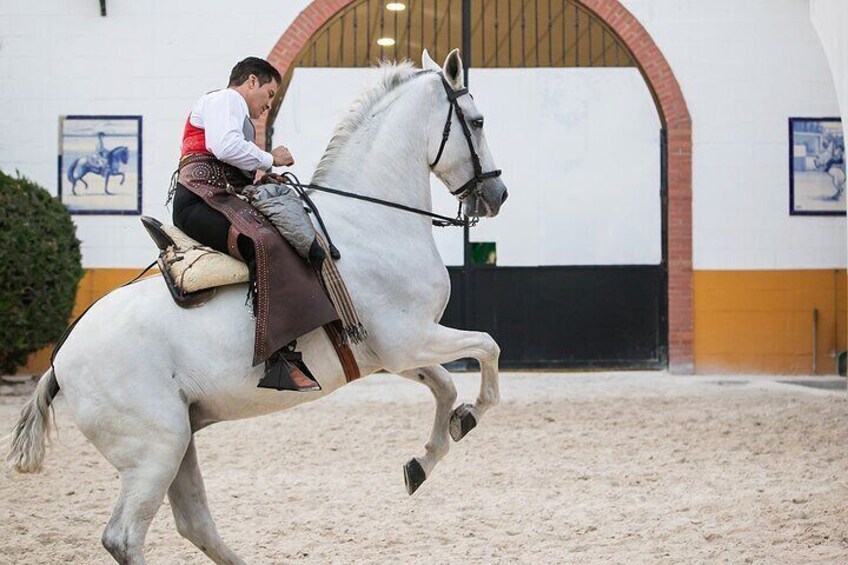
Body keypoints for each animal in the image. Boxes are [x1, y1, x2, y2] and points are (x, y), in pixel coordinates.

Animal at [6, 49, 506, 564]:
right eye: (478, 121)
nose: (497, 195)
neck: (369, 221)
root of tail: (60, 360)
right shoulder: (410, 341)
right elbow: (487, 349)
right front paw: (471, 414)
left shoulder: (391, 354)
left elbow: (445, 386)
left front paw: (427, 456)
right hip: (155, 451)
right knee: (124, 536)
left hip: (179, 443)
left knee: (194, 523)